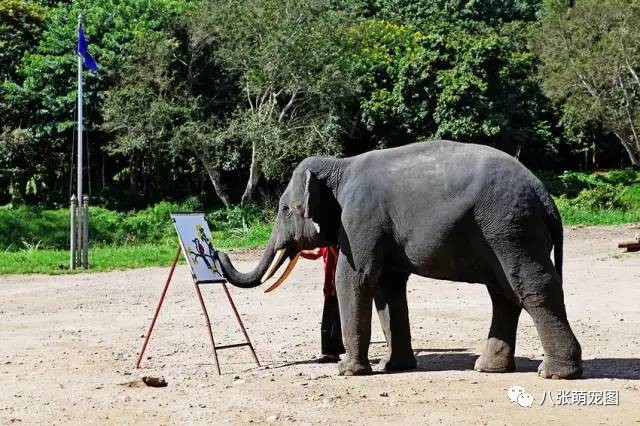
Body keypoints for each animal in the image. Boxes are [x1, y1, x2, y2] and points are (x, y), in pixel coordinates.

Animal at [218, 140, 584, 380]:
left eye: (284, 209)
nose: (220, 252)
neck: (339, 165)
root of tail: (545, 197)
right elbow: (387, 288)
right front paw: (394, 368)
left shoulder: (360, 220)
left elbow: (354, 278)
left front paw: (347, 371)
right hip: (501, 233)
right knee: (503, 292)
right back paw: (489, 368)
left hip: (511, 227)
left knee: (530, 286)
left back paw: (554, 374)